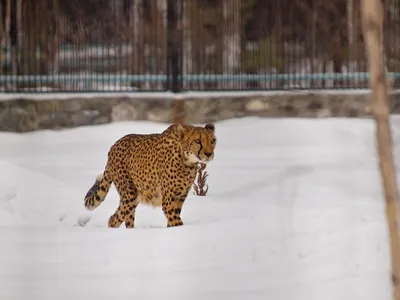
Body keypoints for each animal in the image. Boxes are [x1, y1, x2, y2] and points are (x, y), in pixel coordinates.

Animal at [82, 122, 217, 227]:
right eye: (198, 141)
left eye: (213, 141)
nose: (209, 154)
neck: (187, 161)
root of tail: (114, 146)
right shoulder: (168, 200)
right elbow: (176, 221)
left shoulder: (180, 197)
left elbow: (173, 221)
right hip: (129, 194)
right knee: (120, 218)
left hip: (134, 196)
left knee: (116, 218)